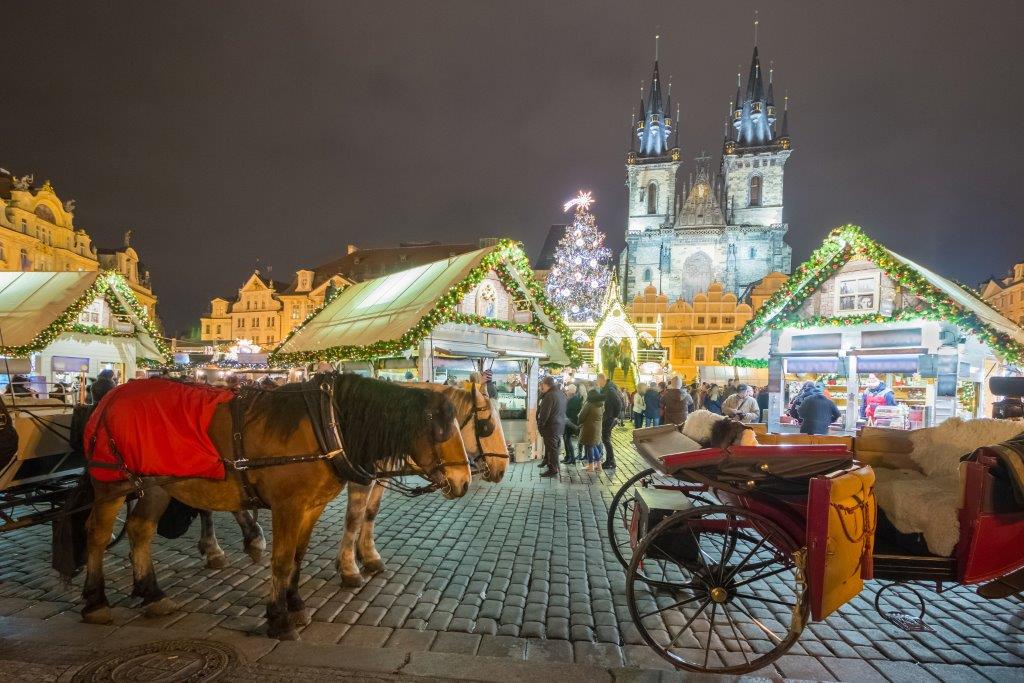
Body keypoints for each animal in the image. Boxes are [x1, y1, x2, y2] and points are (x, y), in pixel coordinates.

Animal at [66, 374, 473, 643]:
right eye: (440, 429)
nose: (465, 480)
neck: (325, 424)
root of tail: (109, 398)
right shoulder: (287, 506)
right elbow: (280, 560)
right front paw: (279, 618)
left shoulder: (311, 507)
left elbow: (297, 559)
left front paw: (295, 604)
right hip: (112, 485)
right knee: (97, 535)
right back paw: (95, 601)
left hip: (155, 486)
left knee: (140, 530)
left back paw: (153, 594)